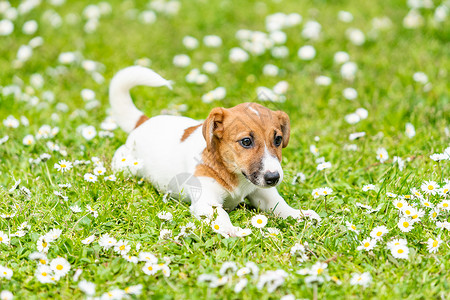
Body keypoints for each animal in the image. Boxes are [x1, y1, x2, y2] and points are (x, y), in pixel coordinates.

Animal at [109, 65, 320, 237]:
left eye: (277, 139)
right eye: (246, 141)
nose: (273, 178)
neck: (236, 176)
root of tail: (142, 122)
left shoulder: (261, 191)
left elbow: (279, 204)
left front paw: (299, 214)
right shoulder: (207, 200)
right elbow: (222, 215)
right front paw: (230, 229)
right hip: (125, 166)